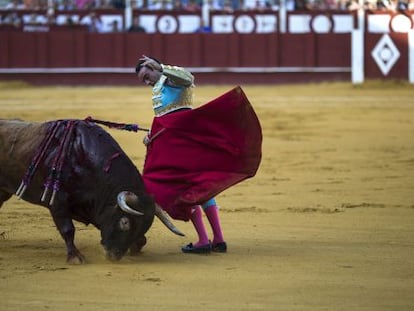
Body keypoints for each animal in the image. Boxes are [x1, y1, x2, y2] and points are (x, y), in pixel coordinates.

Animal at [0, 118, 182, 264]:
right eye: (124, 222)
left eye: (145, 226)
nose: (113, 256)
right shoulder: (58, 203)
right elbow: (68, 229)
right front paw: (75, 257)